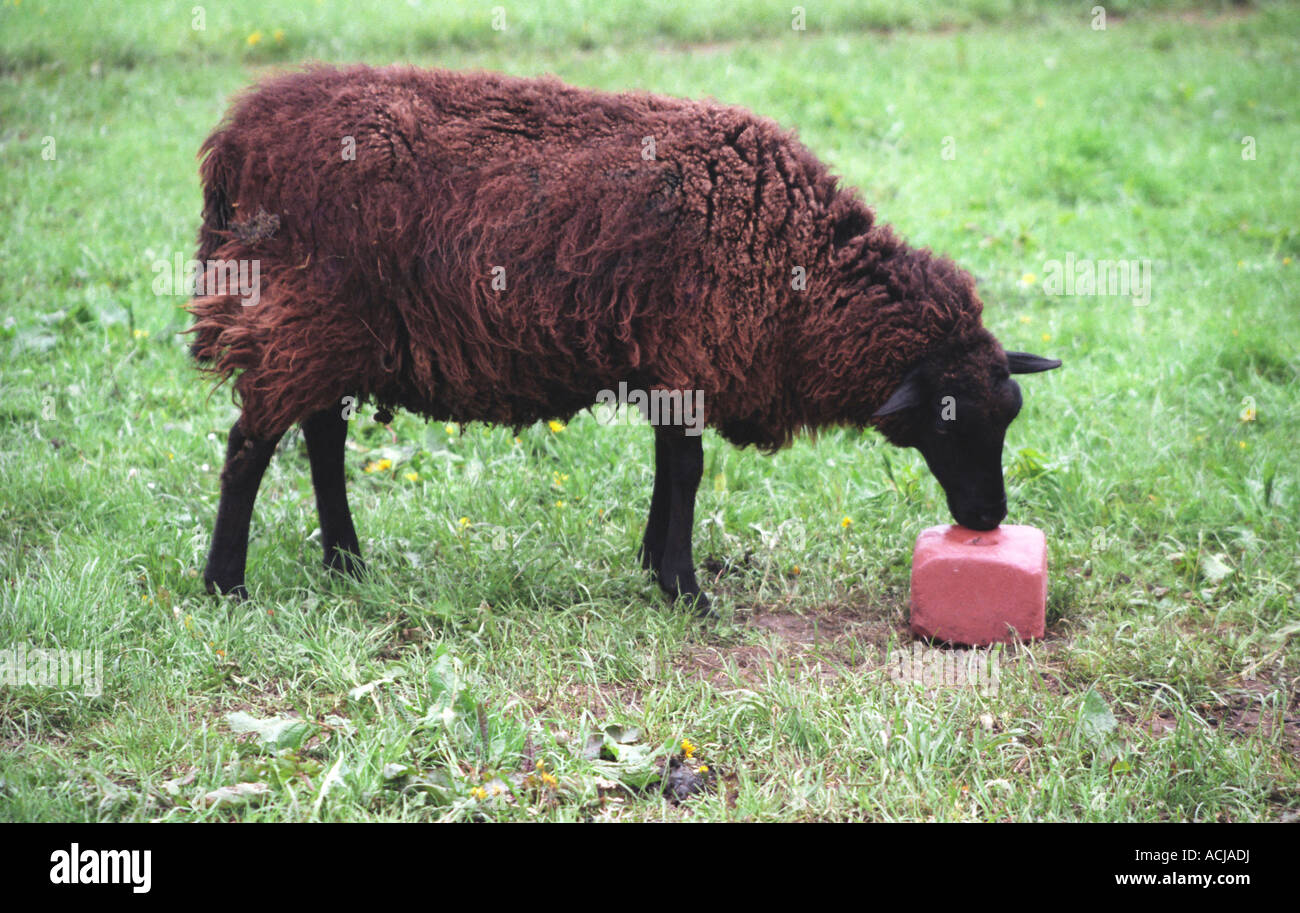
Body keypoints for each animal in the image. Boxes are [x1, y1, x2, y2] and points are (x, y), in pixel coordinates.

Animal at [188, 64, 1060, 610]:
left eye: (1010, 416)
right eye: (948, 421)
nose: (988, 520)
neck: (800, 268)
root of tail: (237, 135)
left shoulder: (670, 359)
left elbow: (670, 467)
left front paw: (654, 563)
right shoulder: (695, 352)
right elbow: (690, 469)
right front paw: (686, 589)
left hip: (327, 330)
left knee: (320, 435)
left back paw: (345, 561)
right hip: (301, 312)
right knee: (250, 445)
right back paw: (227, 583)